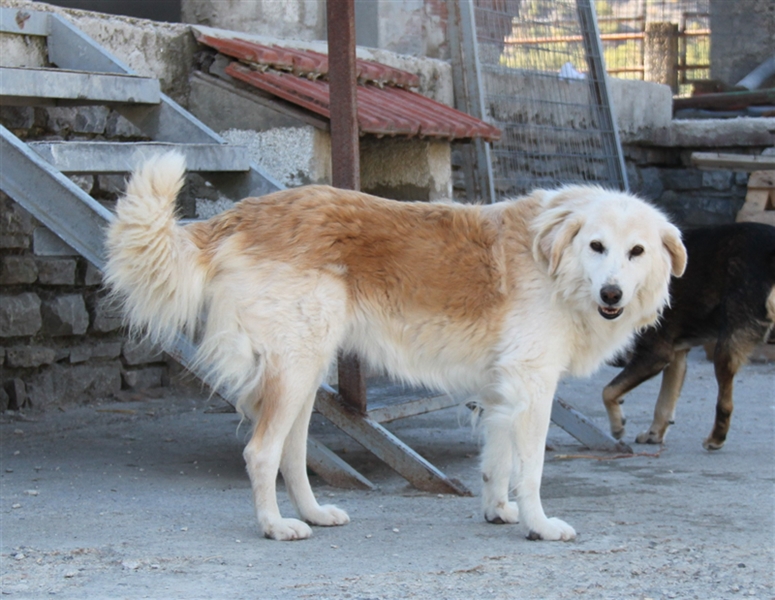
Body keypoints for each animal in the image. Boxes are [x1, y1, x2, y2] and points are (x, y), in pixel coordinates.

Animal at [104, 153, 686, 542]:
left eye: (636, 252)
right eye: (597, 246)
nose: (612, 294)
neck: (554, 262)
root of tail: (246, 213)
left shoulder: (502, 391)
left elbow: (496, 462)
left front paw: (499, 511)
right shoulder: (532, 386)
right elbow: (532, 468)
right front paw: (539, 525)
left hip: (305, 373)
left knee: (292, 453)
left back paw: (314, 514)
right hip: (295, 370)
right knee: (261, 452)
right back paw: (275, 526)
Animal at [603, 222, 775, 450]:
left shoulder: (655, 355)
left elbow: (608, 391)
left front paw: (617, 426)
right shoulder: (676, 356)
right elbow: (664, 403)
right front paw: (654, 434)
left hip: (725, 350)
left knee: (725, 403)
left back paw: (716, 438)